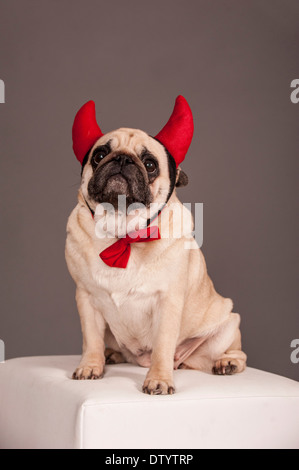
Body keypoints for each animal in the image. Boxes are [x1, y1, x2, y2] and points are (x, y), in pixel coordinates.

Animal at [66, 97, 248, 394]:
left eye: (150, 164)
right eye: (99, 155)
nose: (122, 159)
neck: (124, 234)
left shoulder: (167, 302)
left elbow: (163, 345)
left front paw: (159, 379)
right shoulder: (86, 299)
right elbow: (90, 339)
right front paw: (90, 366)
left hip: (227, 325)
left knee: (231, 351)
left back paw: (227, 363)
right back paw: (110, 355)